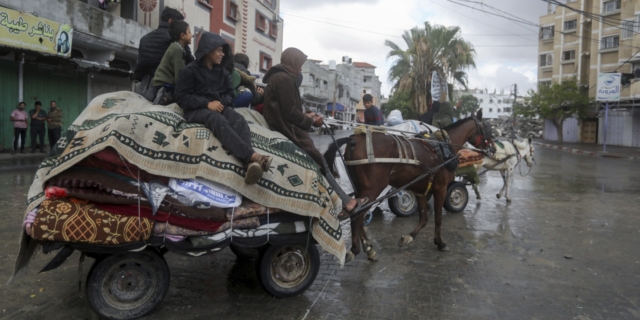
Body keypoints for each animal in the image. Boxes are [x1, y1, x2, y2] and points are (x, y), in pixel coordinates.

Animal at [324, 109, 496, 260]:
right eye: (487, 128)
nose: (493, 149)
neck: (443, 147)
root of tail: (354, 140)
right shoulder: (440, 188)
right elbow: (438, 218)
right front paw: (440, 243)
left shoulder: (421, 189)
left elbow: (424, 218)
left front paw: (408, 238)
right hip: (373, 189)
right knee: (357, 216)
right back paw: (355, 249)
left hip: (360, 189)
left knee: (358, 213)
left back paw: (368, 248)